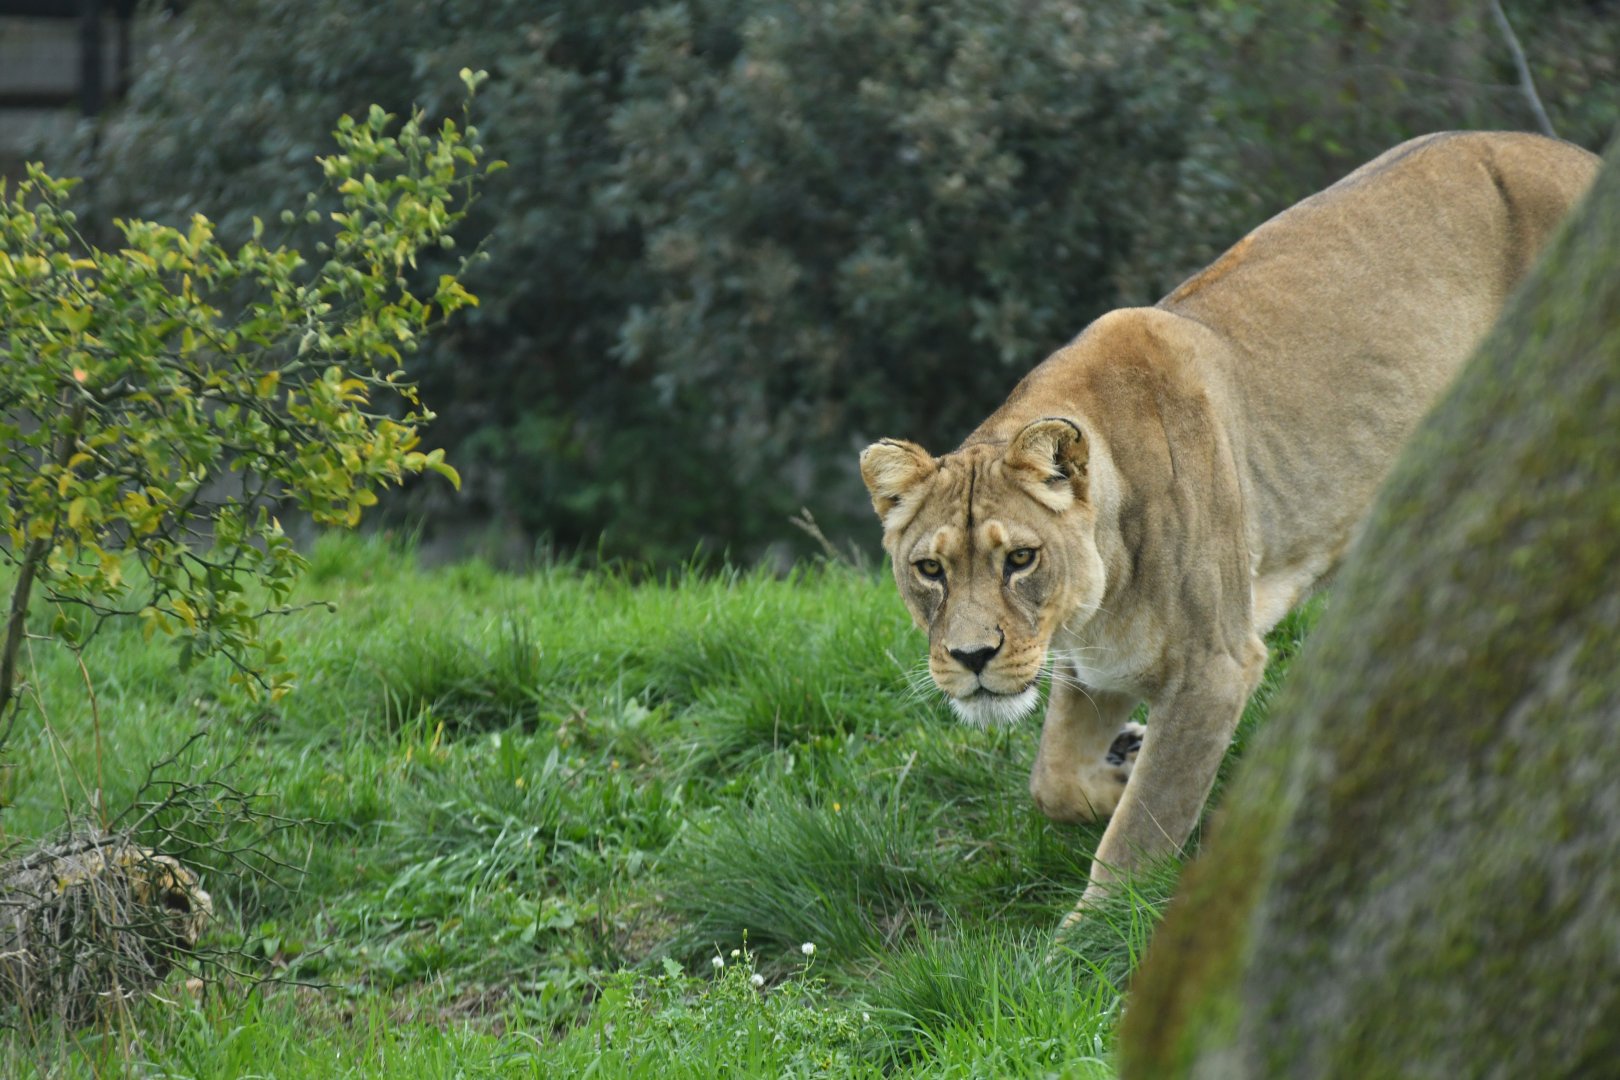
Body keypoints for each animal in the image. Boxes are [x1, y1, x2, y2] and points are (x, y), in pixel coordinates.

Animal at [859, 131, 1599, 924]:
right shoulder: (1095, 664)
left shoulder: (1213, 668)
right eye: (930, 570)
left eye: (1020, 559)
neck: (1096, 593)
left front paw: (1090, 933)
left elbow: (1138, 837)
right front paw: (1118, 764)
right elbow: (1053, 781)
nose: (970, 658)